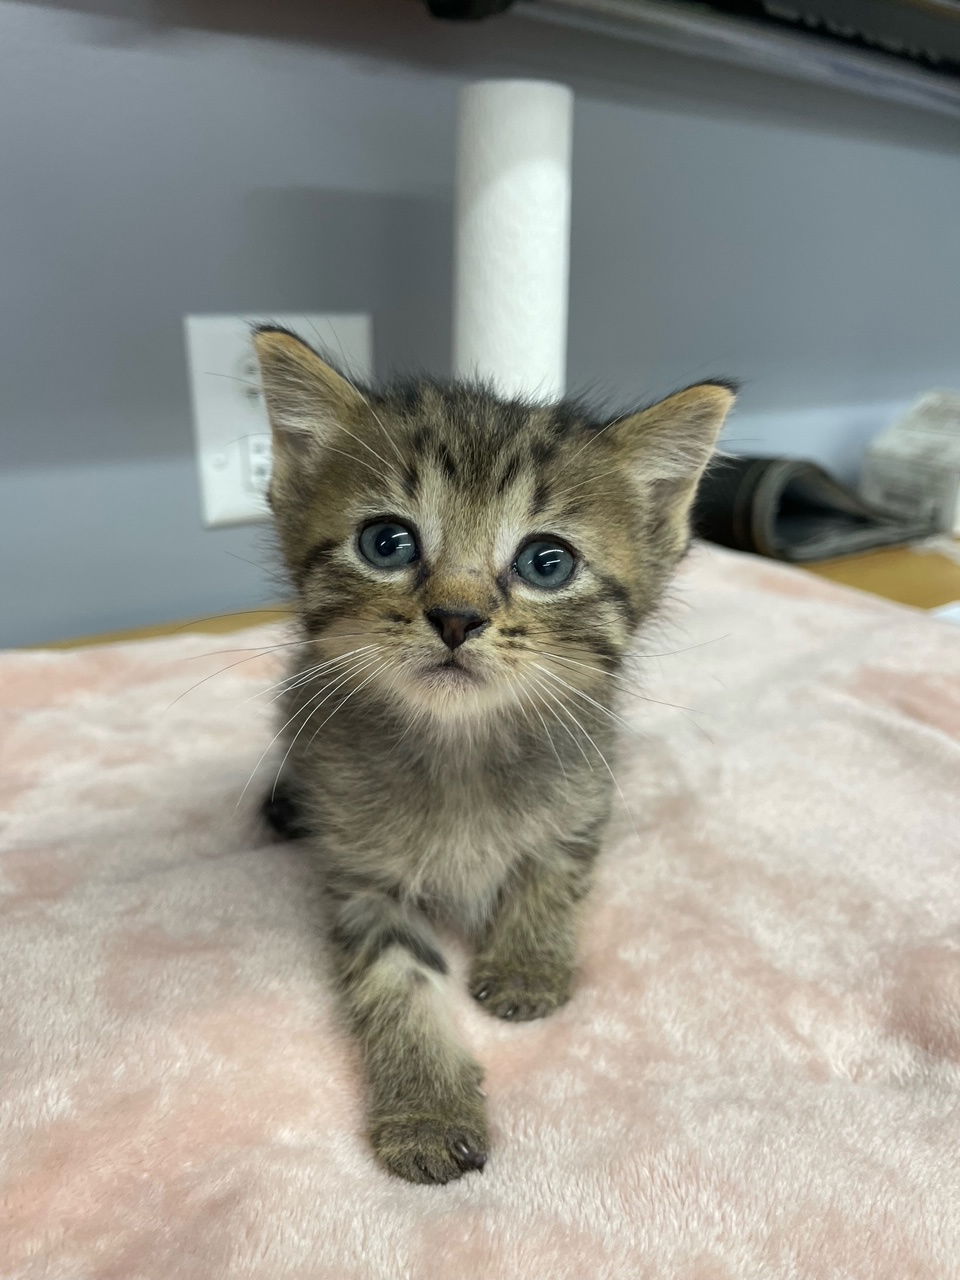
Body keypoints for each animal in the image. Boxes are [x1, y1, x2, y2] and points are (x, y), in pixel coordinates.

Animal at [249, 327, 737, 1177]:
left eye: (548, 562)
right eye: (387, 543)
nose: (456, 616)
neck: (460, 750)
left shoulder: (587, 788)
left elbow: (555, 867)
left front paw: (527, 961)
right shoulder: (360, 879)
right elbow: (394, 981)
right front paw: (426, 1106)